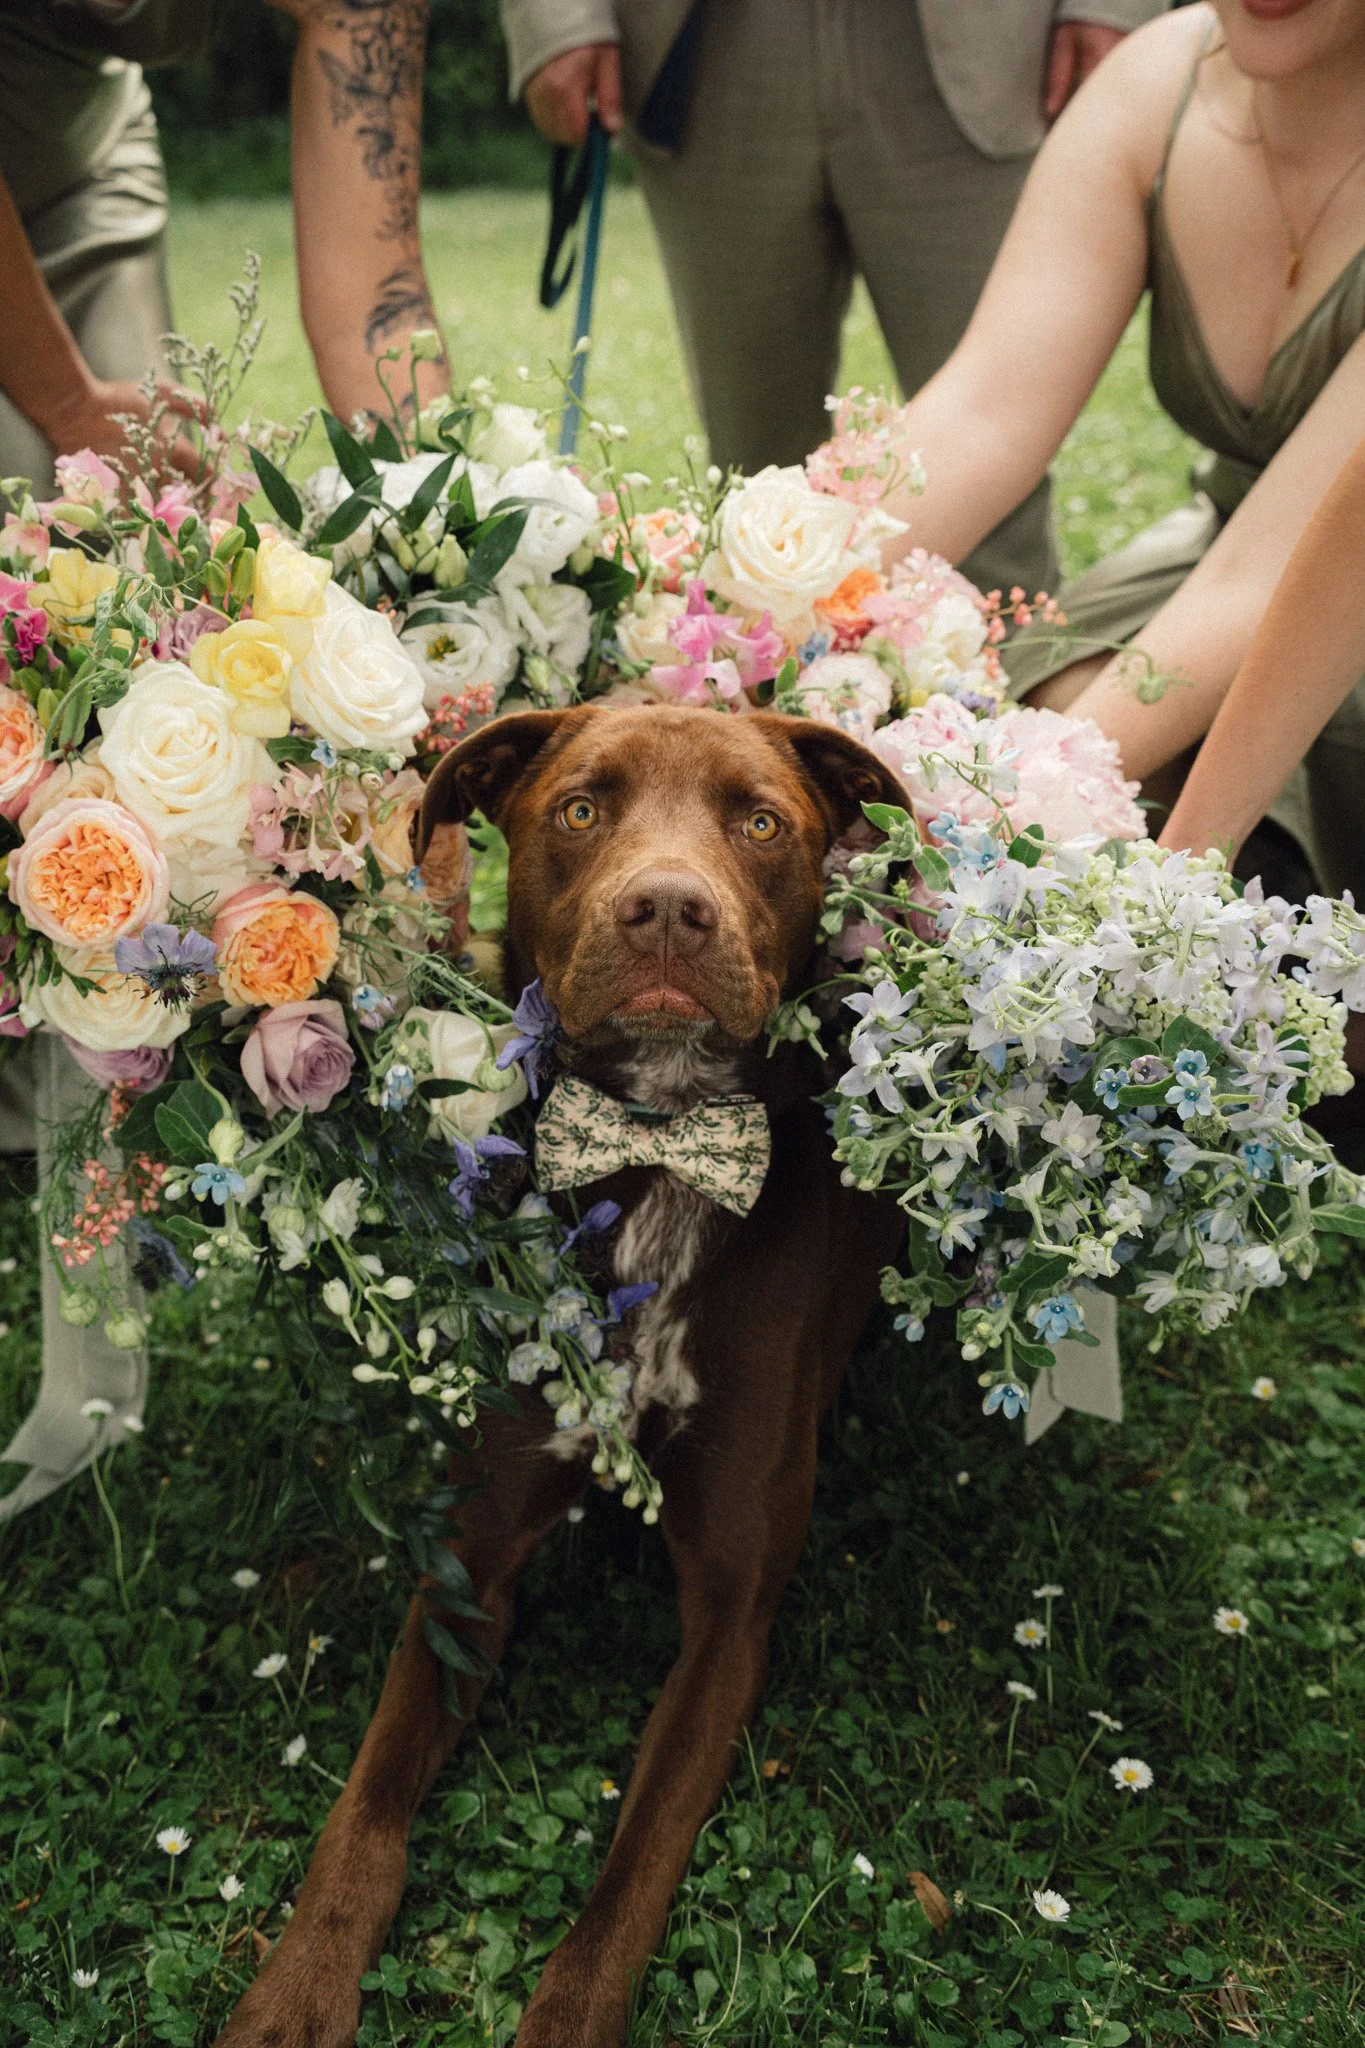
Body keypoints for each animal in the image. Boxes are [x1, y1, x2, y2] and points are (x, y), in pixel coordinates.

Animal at [217, 703, 910, 2048]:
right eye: (582, 809)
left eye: (760, 821)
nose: (669, 911)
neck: (655, 1149)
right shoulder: (468, 1565)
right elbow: (362, 1818)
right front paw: (294, 1994)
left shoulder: (732, 1619)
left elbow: (624, 1884)